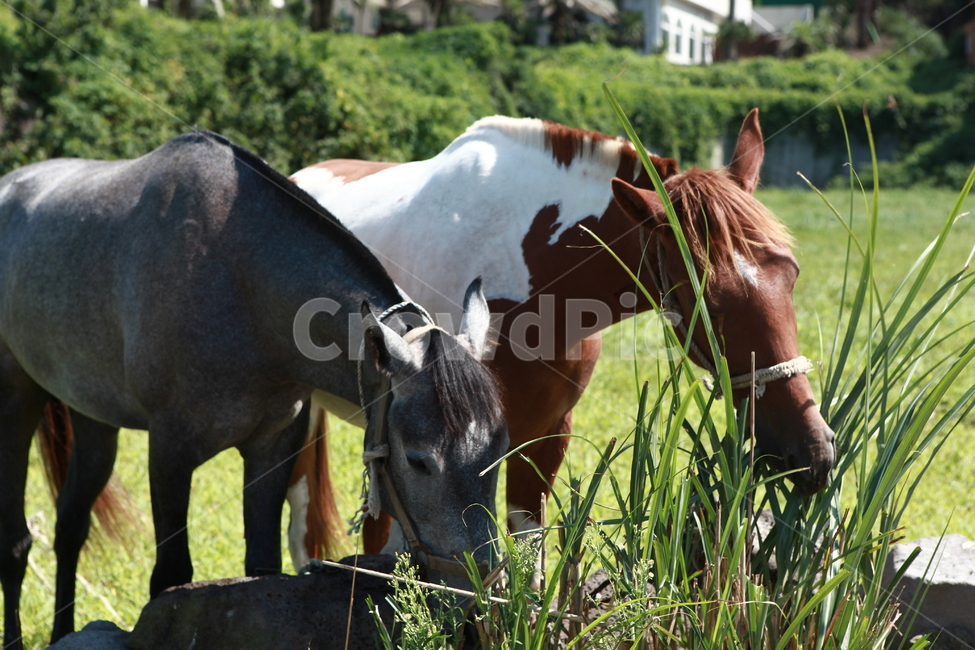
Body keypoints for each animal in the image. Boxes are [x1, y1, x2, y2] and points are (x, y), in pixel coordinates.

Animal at [0, 131, 507, 648]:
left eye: (499, 450)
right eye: (420, 461)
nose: (475, 595)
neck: (238, 281)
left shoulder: (272, 449)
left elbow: (261, 569)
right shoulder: (169, 453)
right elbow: (170, 577)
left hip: (94, 419)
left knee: (70, 527)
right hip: (16, 398)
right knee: (16, 543)